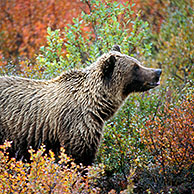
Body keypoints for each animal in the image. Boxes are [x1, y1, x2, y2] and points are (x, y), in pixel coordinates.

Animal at [0, 45, 161, 165]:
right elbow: (78, 158)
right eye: (135, 67)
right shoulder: (77, 124)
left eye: (137, 62)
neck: (96, 104)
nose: (157, 72)